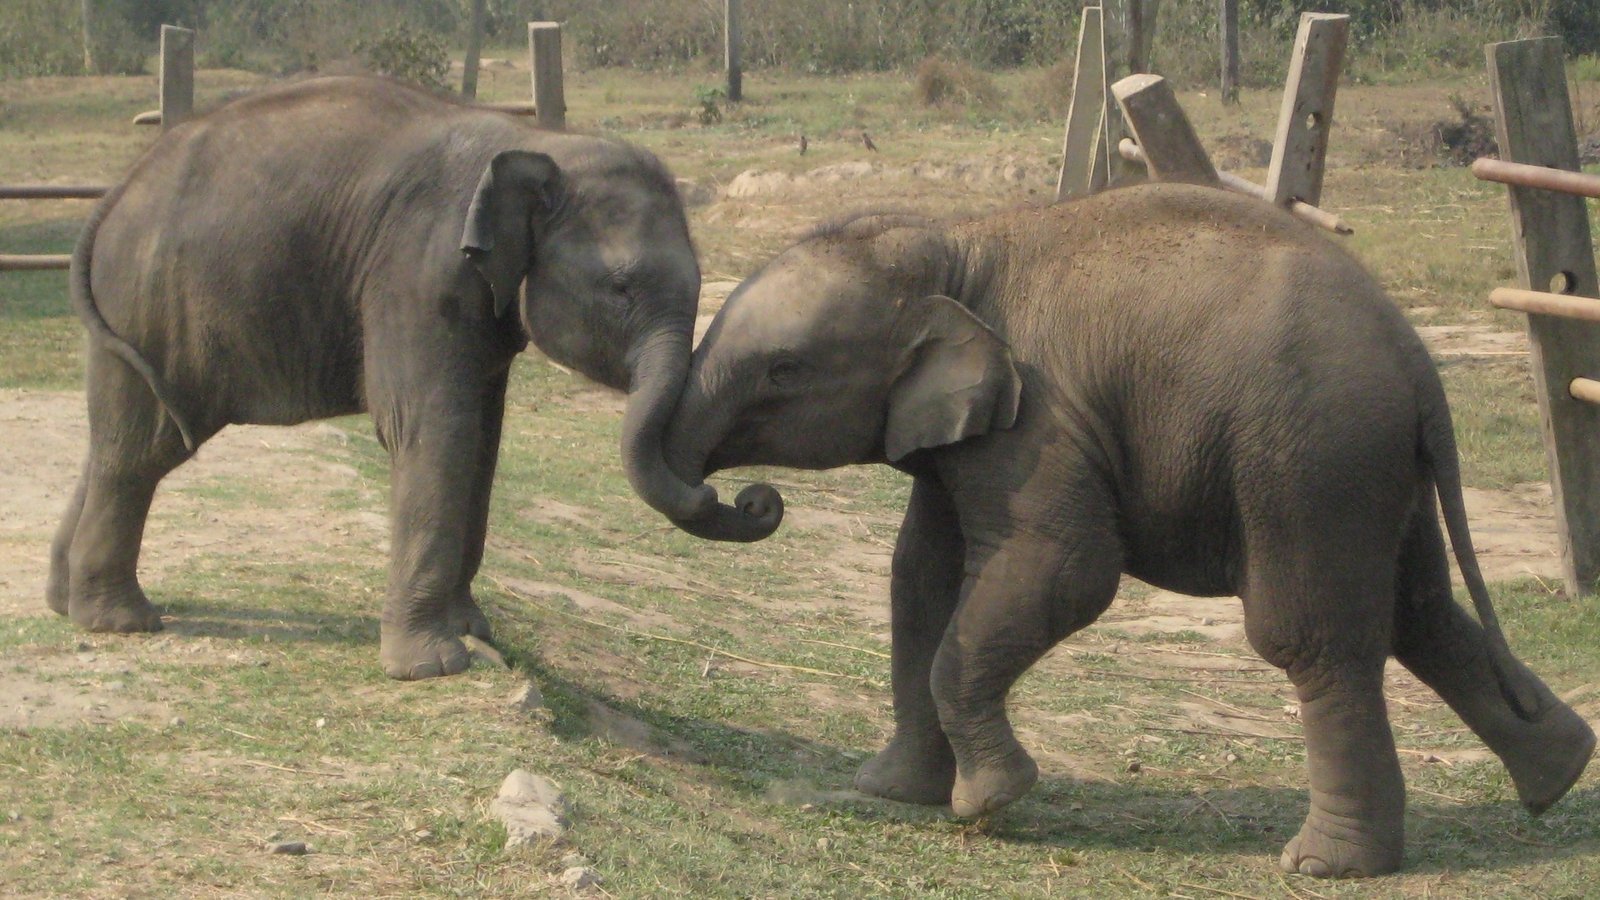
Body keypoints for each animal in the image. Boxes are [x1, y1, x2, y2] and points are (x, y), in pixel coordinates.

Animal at [47, 75, 775, 680]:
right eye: (622, 288)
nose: (746, 500)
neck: (542, 144)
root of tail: (118, 190)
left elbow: (482, 441)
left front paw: (474, 630)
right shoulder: (418, 273)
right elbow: (433, 430)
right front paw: (433, 667)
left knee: (119, 440)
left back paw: (63, 602)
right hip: (148, 301)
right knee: (139, 449)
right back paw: (121, 621)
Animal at [658, 183, 1596, 877]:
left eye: (784, 371)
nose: (751, 501)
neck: (959, 242)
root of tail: (1417, 362)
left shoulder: (1039, 421)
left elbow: (1067, 571)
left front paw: (989, 804)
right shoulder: (973, 434)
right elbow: (919, 576)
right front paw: (892, 790)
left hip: (1311, 457)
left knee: (1311, 637)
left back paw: (1323, 865)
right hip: (1369, 468)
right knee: (1419, 611)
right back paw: (1559, 776)